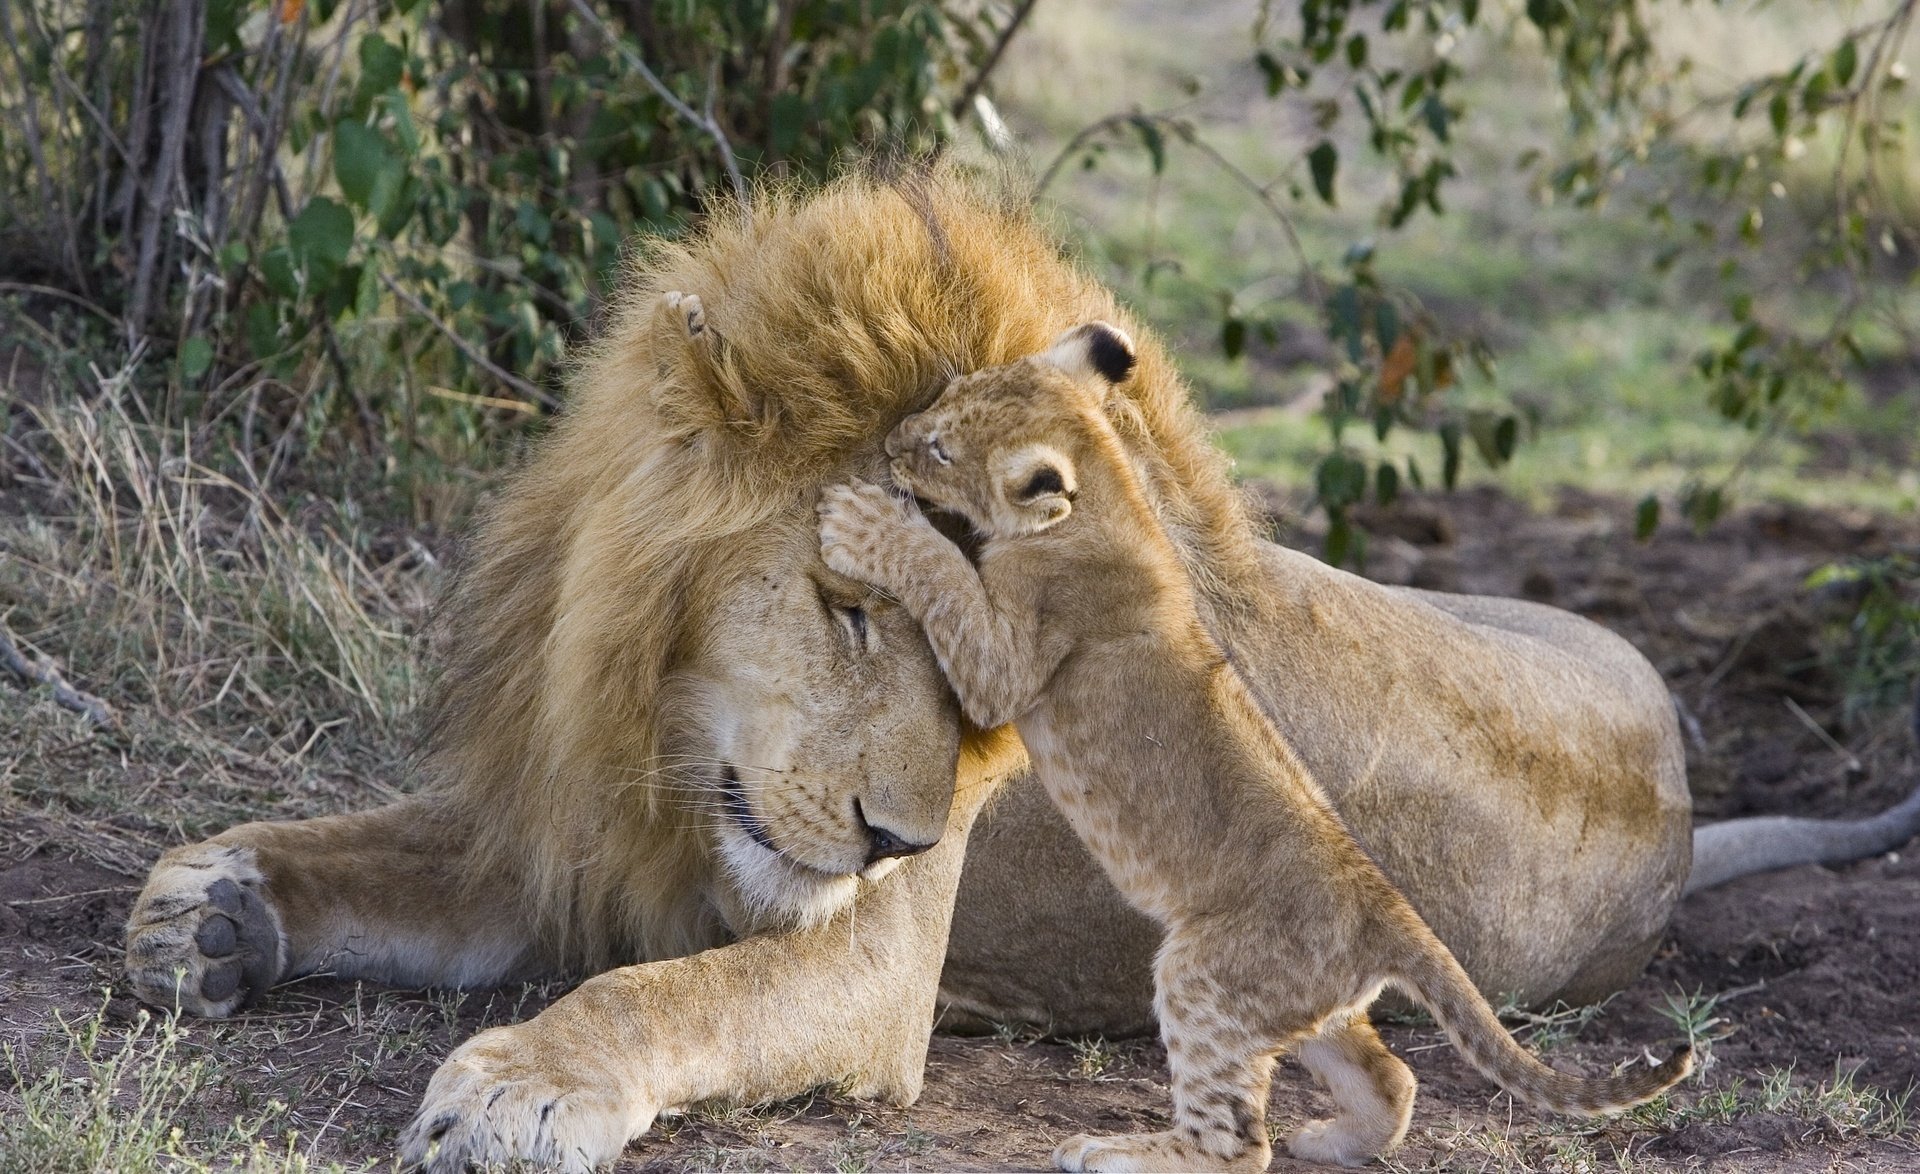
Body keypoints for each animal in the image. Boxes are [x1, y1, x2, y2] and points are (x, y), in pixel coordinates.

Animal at [818, 321, 1691, 1171]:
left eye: (940, 450)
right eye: (944, 397)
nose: (893, 442)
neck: (1109, 494)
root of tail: (1385, 911)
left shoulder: (1007, 661)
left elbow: (944, 574)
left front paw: (863, 521)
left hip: (1203, 974)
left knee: (1239, 1145)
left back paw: (1117, 1151)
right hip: (1306, 1005)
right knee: (1392, 1078)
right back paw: (1333, 1140)